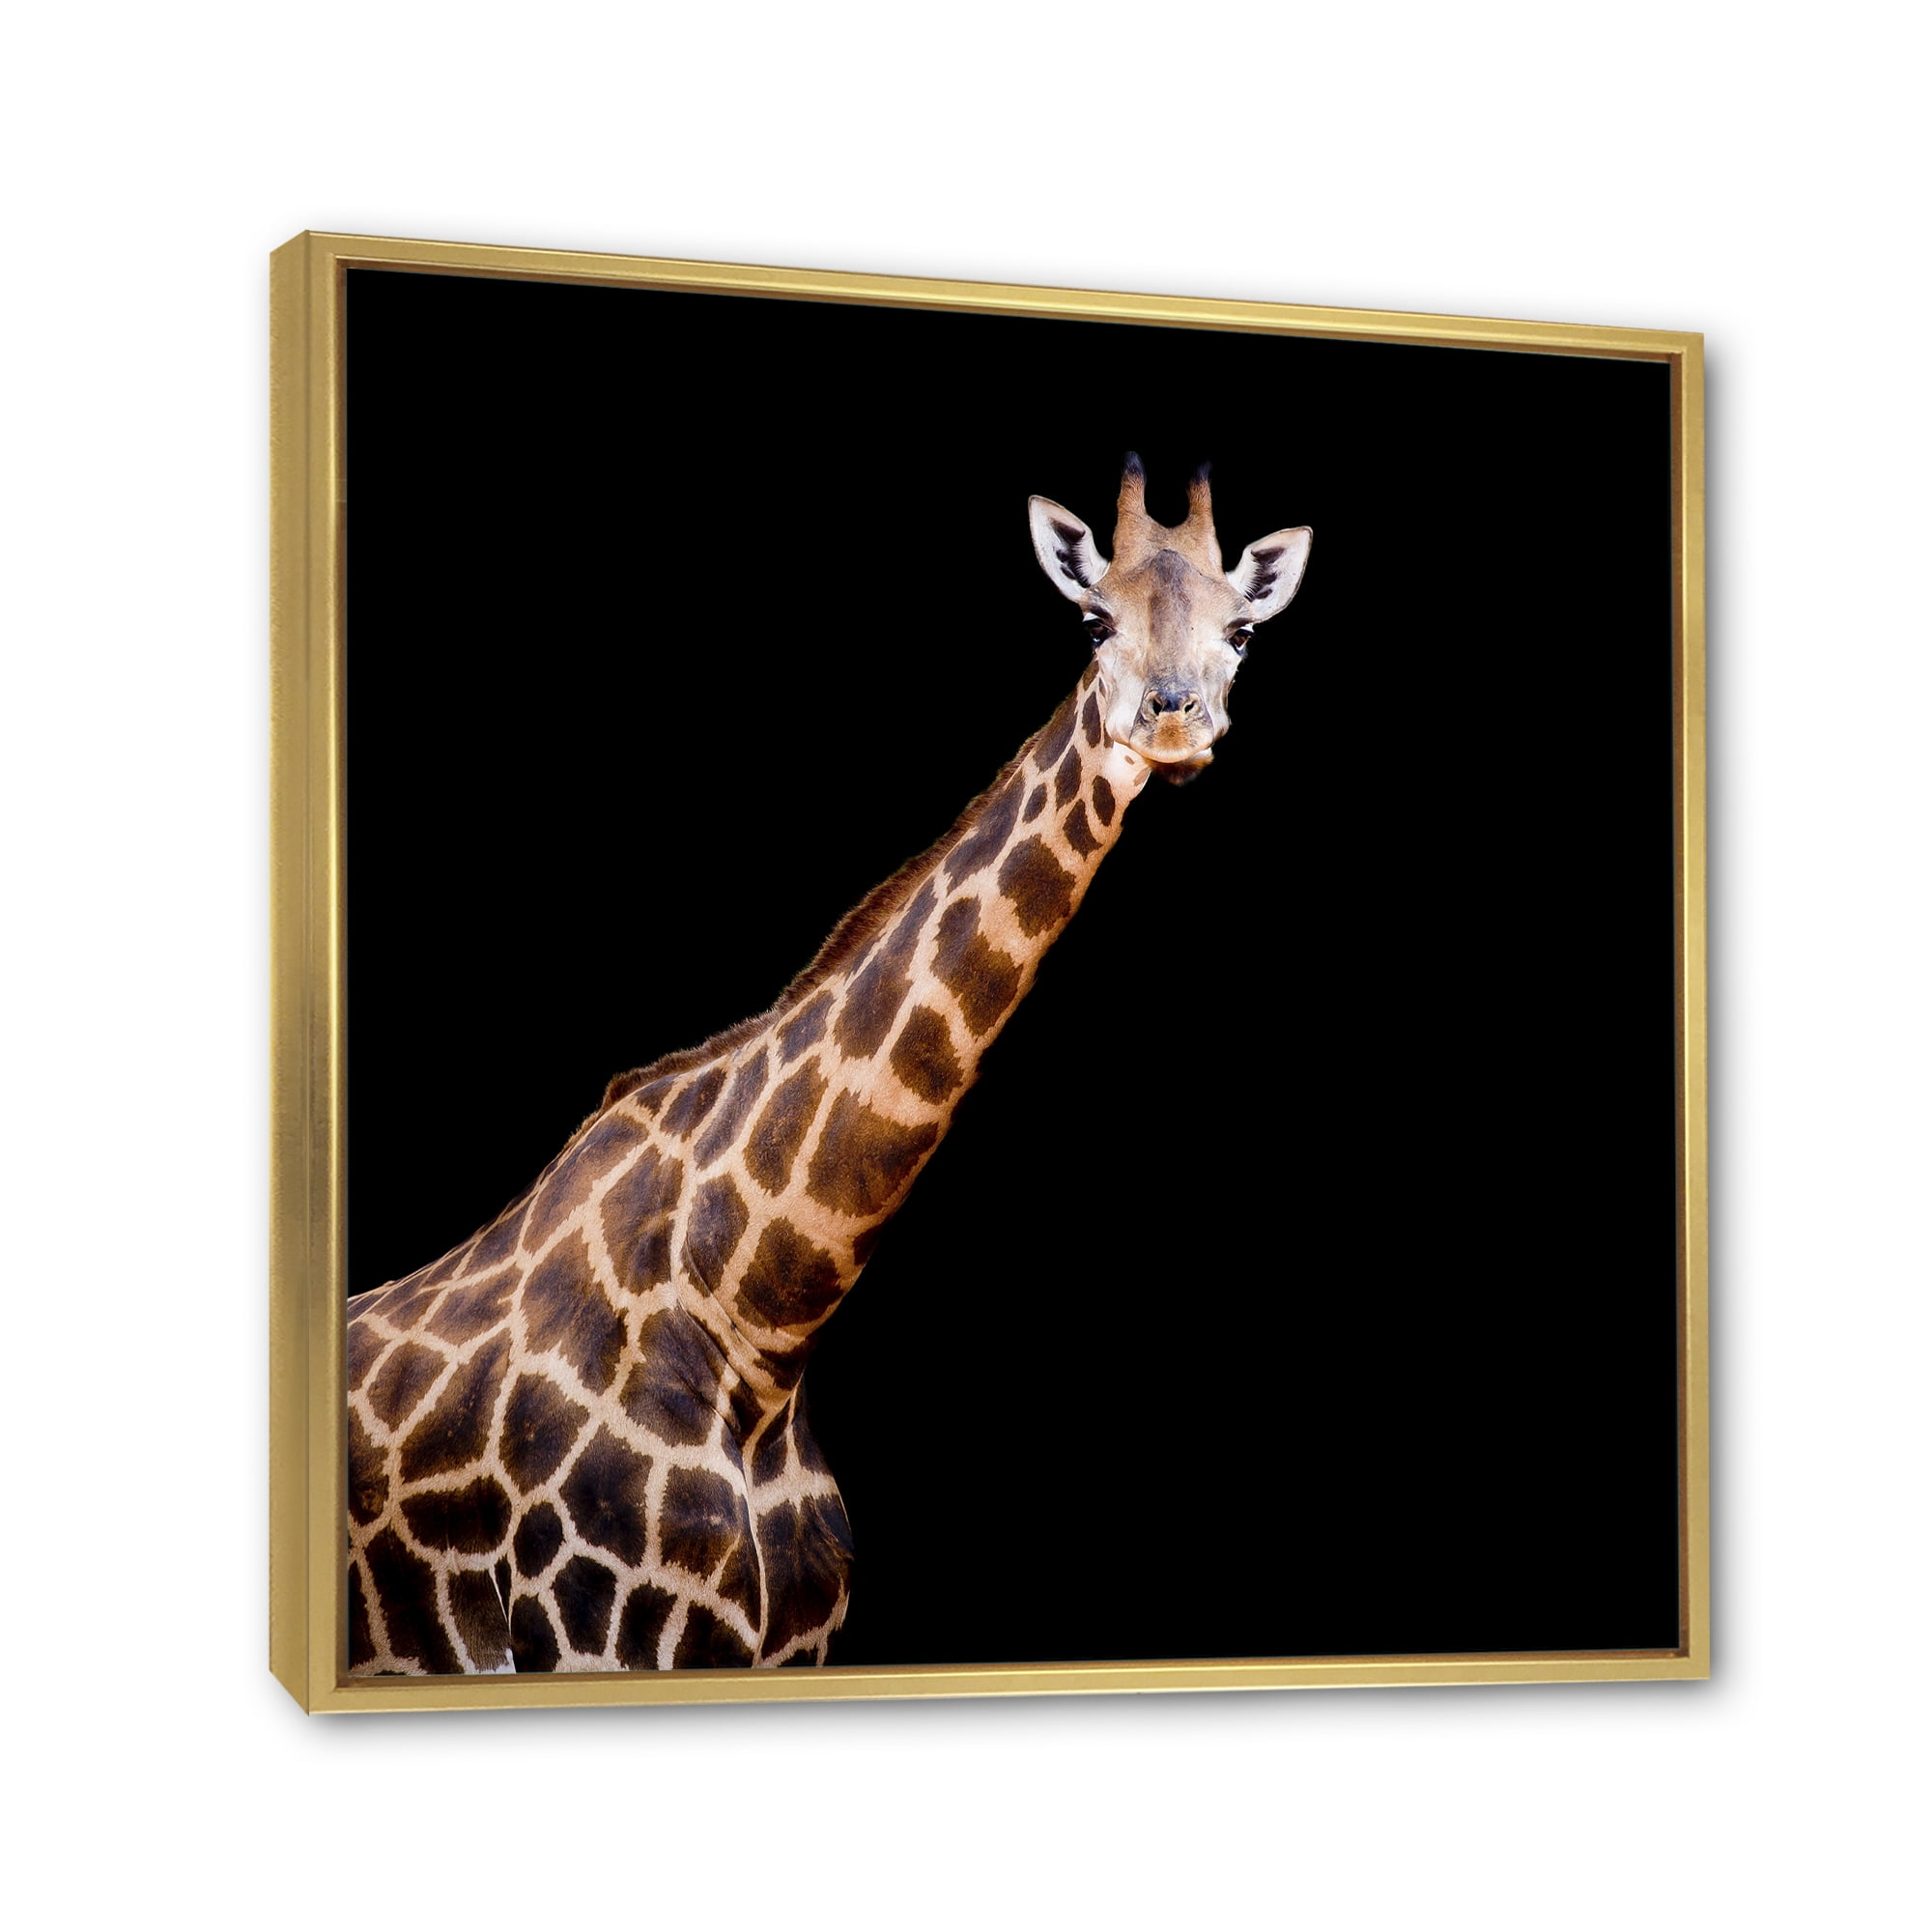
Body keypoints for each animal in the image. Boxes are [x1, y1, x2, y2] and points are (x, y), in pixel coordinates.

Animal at [344, 455, 1313, 1673]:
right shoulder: (579, 1636)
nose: (1174, 718)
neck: (757, 1320)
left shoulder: (792, 1644)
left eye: (1242, 628)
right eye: (1092, 619)